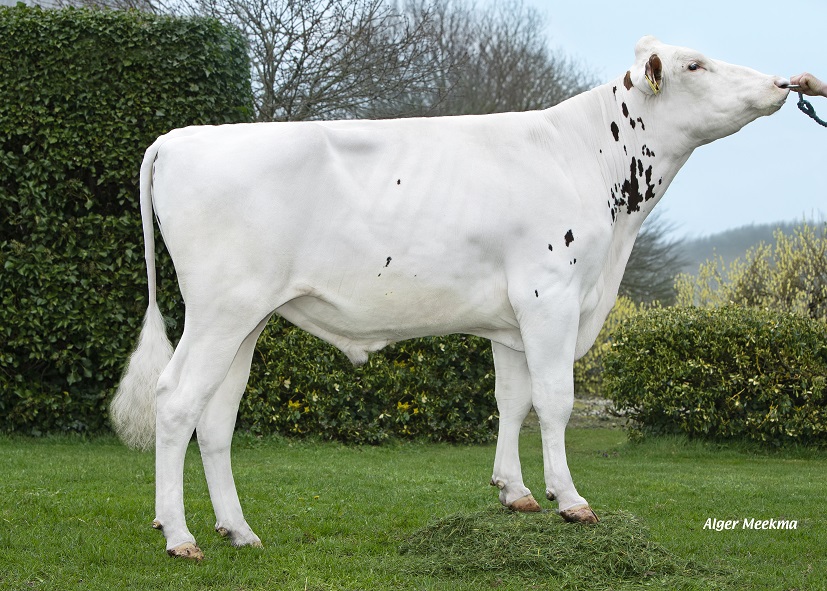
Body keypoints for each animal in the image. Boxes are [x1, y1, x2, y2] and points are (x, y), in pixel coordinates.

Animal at [111, 36, 792, 559]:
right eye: (695, 65)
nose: (783, 82)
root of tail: (177, 139)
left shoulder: (516, 316)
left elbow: (513, 401)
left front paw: (516, 493)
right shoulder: (551, 295)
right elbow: (555, 401)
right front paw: (570, 500)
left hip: (247, 319)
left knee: (216, 417)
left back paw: (238, 530)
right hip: (219, 310)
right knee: (175, 401)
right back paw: (179, 537)